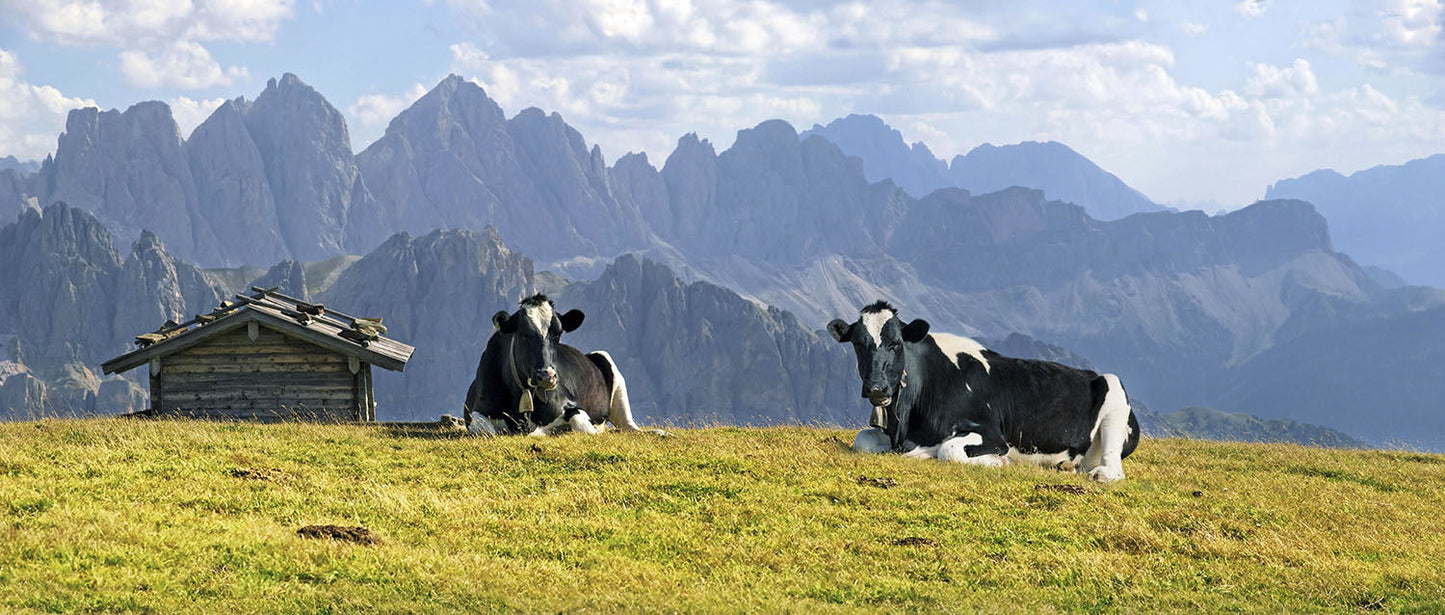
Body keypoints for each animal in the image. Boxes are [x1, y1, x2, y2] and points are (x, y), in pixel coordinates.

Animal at [462, 294, 661, 435]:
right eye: (524, 334)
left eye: (557, 334)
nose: (547, 376)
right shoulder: (477, 410)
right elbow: (483, 429)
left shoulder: (571, 405)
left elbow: (584, 426)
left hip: (610, 367)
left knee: (629, 426)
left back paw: (659, 432)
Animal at [838, 300, 1138, 482]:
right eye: (857, 343)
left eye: (896, 343)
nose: (876, 388)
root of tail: (1092, 373)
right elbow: (862, 440)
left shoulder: (992, 435)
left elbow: (948, 450)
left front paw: (1000, 463)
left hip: (1114, 402)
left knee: (1112, 468)